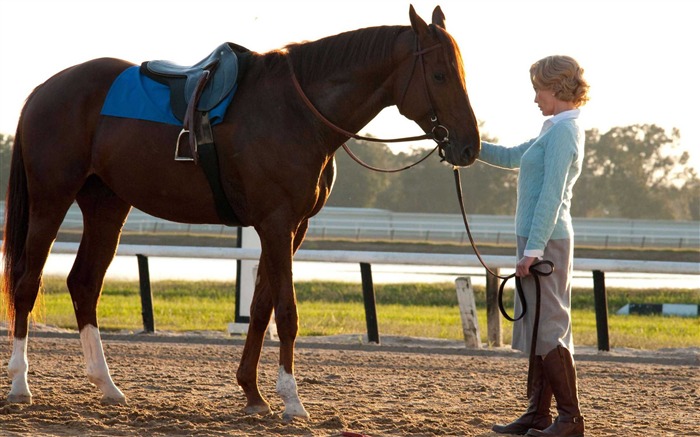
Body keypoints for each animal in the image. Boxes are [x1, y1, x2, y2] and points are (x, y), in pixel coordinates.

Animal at [0, 4, 478, 418]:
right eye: (439, 74)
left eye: (461, 73)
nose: (469, 146)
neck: (298, 112)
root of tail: (45, 89)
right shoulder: (277, 224)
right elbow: (286, 312)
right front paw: (291, 400)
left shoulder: (290, 228)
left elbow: (262, 306)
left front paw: (252, 392)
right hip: (51, 200)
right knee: (27, 283)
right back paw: (21, 385)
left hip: (106, 206)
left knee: (84, 284)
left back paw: (107, 386)